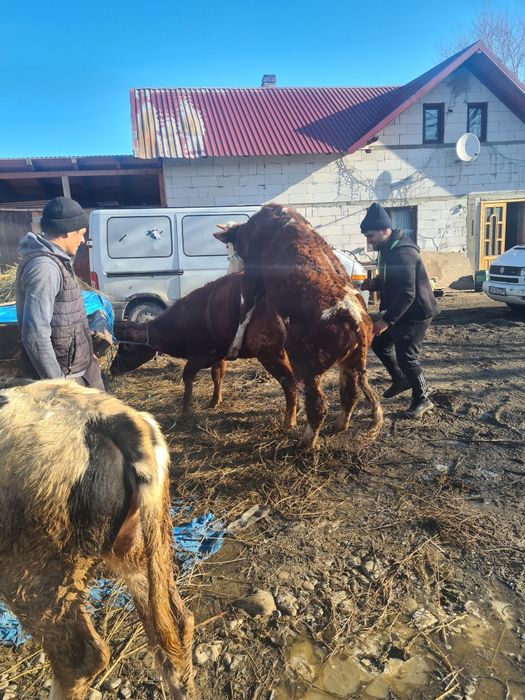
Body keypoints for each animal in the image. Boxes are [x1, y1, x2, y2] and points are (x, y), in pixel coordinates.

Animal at [110, 272, 298, 429]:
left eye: (127, 346)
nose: (112, 368)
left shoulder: (202, 355)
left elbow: (187, 376)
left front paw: (186, 411)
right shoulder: (220, 355)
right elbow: (217, 375)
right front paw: (215, 401)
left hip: (271, 354)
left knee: (290, 383)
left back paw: (290, 421)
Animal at [213, 204, 383, 449]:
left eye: (228, 247)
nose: (228, 271)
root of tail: (352, 315)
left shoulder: (253, 276)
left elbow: (245, 310)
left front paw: (234, 346)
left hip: (305, 364)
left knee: (318, 404)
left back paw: (304, 444)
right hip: (349, 363)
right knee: (349, 394)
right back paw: (338, 426)